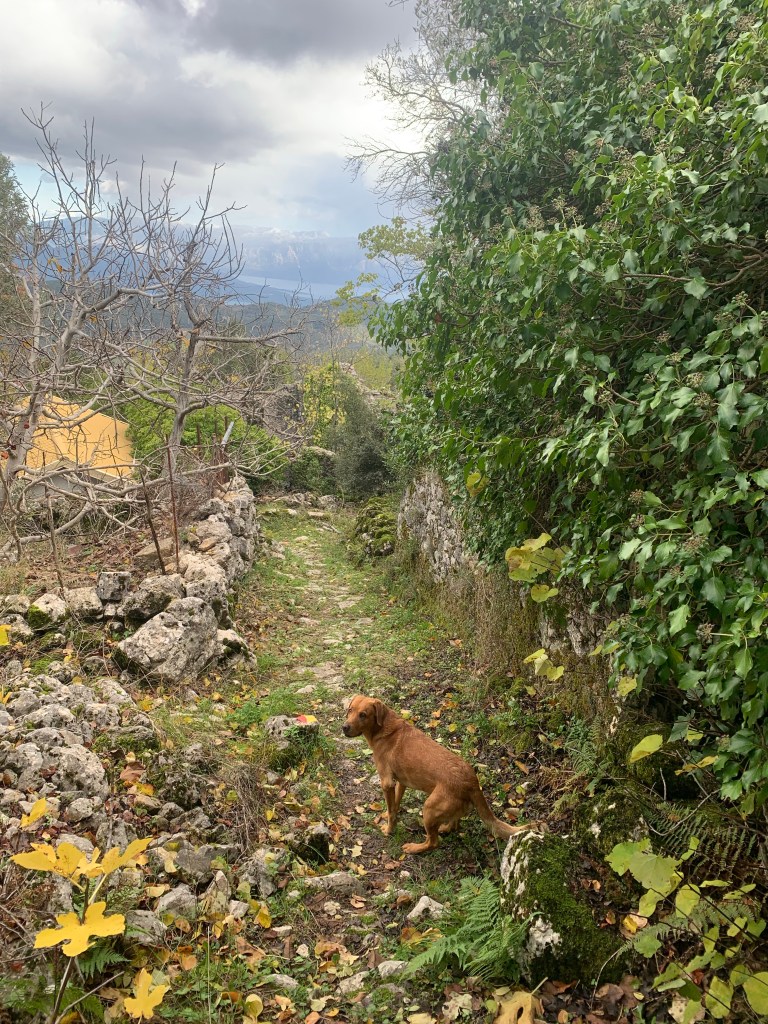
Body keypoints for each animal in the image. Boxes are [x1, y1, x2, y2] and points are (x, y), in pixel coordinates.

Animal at [342, 694, 529, 854]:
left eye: (363, 715)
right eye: (350, 710)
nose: (344, 728)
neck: (384, 728)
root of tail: (472, 782)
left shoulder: (387, 782)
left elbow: (391, 811)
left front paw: (389, 830)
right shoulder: (401, 782)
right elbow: (394, 806)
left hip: (429, 808)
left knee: (433, 842)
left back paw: (415, 848)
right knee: (453, 824)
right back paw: (445, 828)